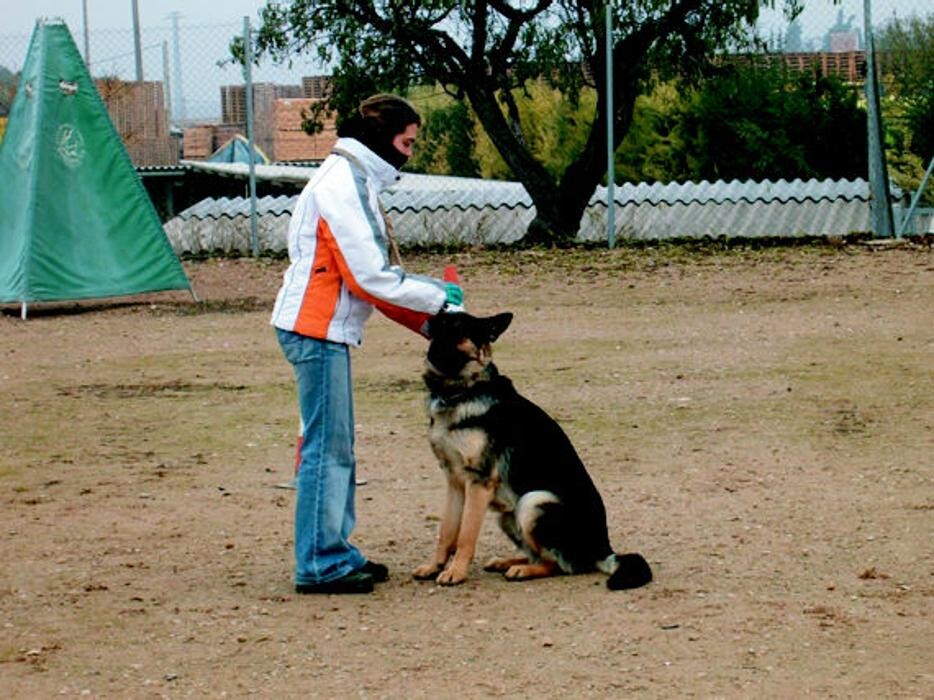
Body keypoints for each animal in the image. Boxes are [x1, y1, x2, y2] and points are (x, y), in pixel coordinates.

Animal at [414, 312, 656, 592]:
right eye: (440, 321)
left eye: (459, 328)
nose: (429, 322)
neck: (461, 390)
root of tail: (602, 550)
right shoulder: (454, 481)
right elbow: (447, 531)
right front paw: (435, 566)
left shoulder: (478, 483)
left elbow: (465, 535)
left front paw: (456, 572)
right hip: (508, 516)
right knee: (540, 554)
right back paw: (507, 562)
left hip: (532, 502)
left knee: (558, 565)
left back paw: (522, 570)